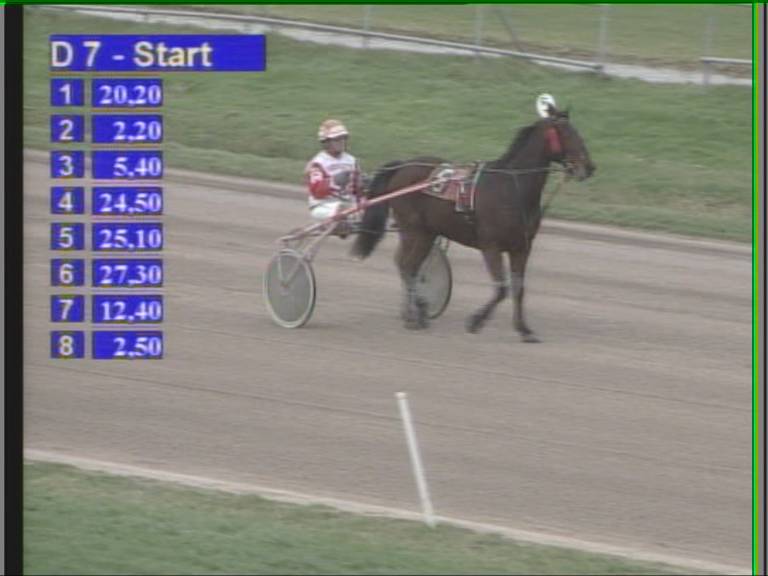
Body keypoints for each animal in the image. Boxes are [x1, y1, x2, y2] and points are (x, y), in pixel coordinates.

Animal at [351, 104, 595, 342]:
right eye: (567, 133)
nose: (590, 167)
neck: (510, 188)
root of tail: (402, 166)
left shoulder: (521, 247)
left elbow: (518, 288)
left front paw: (524, 329)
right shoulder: (491, 245)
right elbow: (501, 288)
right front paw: (476, 321)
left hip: (423, 232)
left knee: (405, 264)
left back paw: (410, 312)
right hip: (416, 230)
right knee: (408, 266)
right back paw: (418, 312)